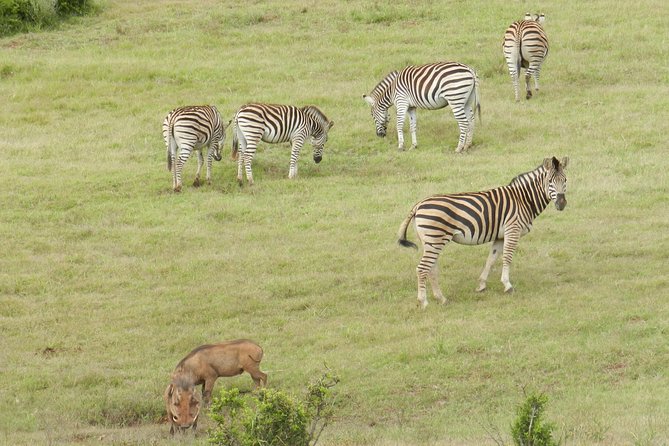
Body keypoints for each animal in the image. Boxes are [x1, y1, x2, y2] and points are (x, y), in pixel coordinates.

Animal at [396, 158, 568, 310]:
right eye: (550, 181)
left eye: (565, 180)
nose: (562, 204)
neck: (523, 199)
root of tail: (418, 205)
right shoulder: (512, 230)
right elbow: (507, 258)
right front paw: (508, 285)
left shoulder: (500, 236)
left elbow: (491, 259)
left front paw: (481, 285)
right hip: (435, 239)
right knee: (422, 268)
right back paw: (424, 302)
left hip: (430, 241)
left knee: (431, 269)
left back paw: (441, 299)